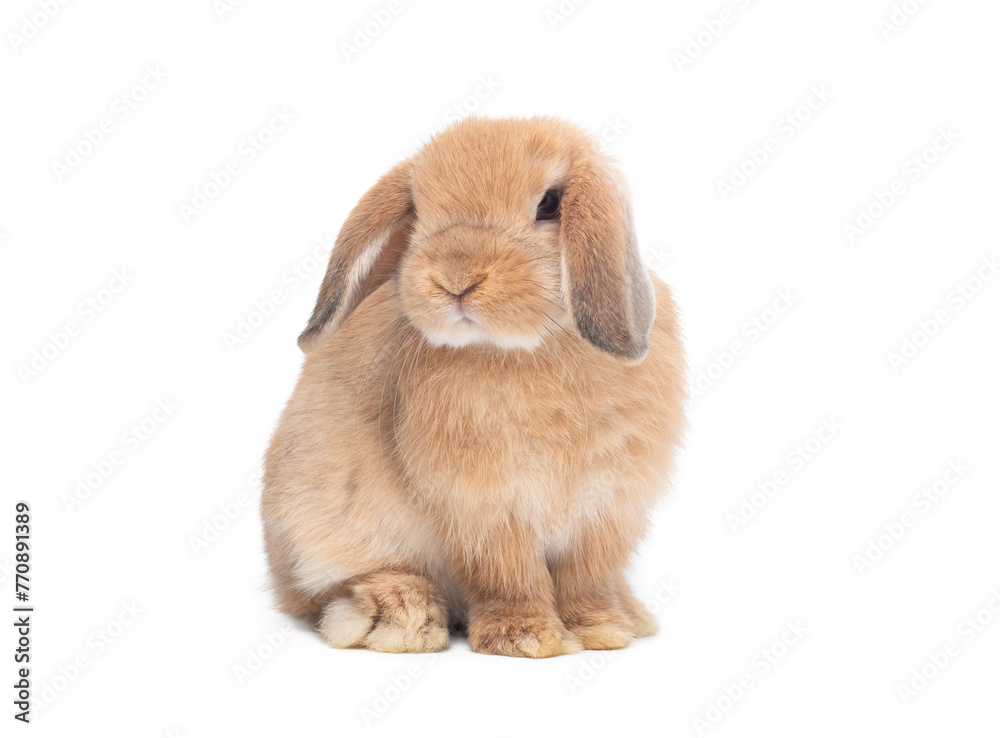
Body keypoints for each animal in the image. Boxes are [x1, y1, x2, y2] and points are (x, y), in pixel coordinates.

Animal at [262, 115, 688, 656]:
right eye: (419, 209)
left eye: (549, 204)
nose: (456, 279)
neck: (526, 348)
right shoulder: (483, 510)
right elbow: (509, 575)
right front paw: (527, 638)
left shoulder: (606, 507)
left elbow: (586, 577)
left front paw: (602, 629)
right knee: (326, 590)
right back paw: (401, 617)